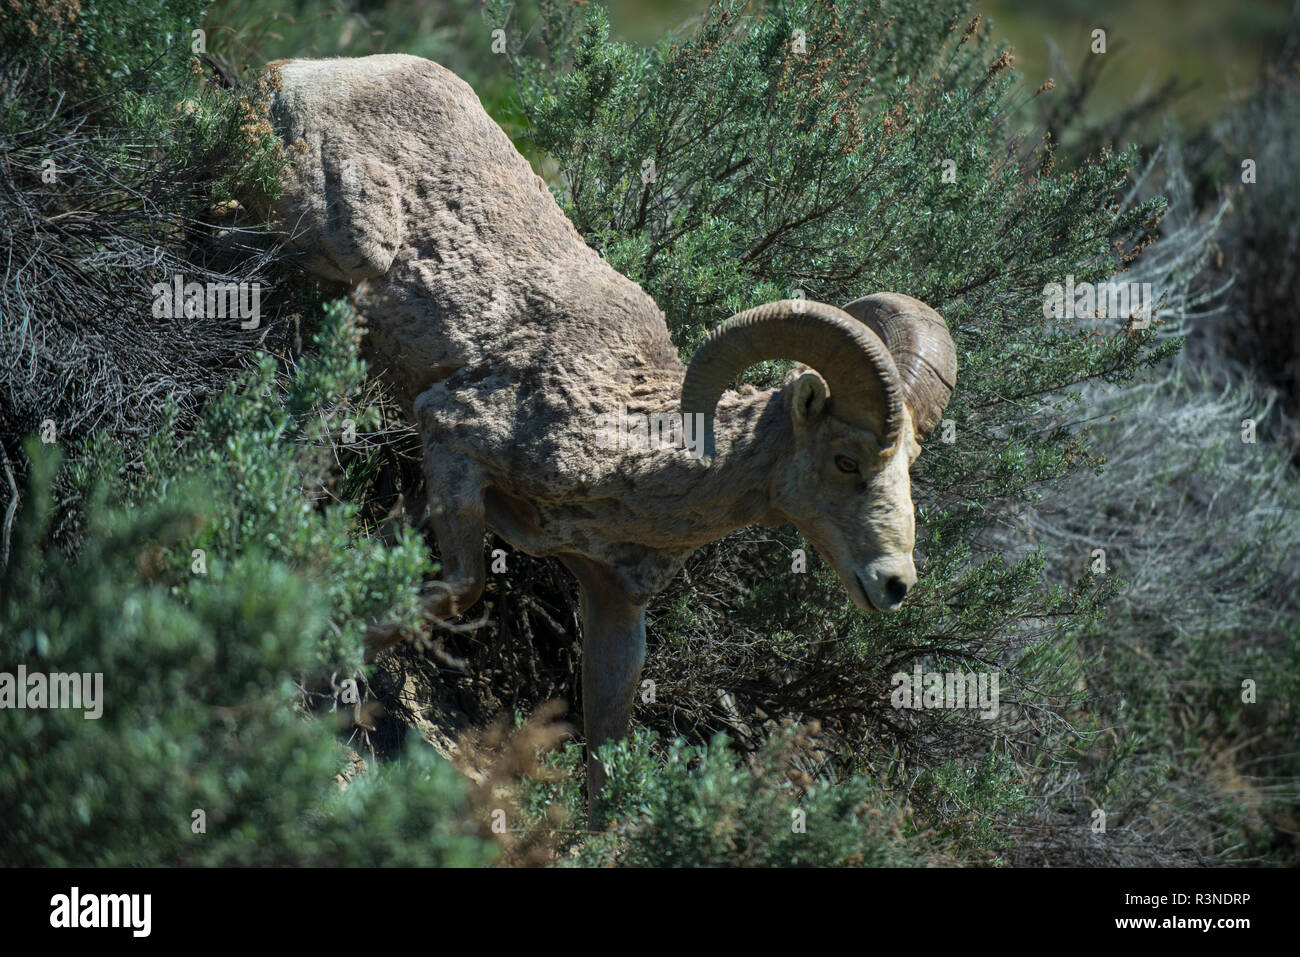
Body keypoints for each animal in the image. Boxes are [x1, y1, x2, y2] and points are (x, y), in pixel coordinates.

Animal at [258, 55, 961, 806]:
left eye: (910, 463)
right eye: (846, 460)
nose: (895, 583)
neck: (630, 441)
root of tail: (305, 74)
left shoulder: (614, 602)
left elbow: (608, 748)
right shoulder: (453, 442)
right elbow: (459, 587)